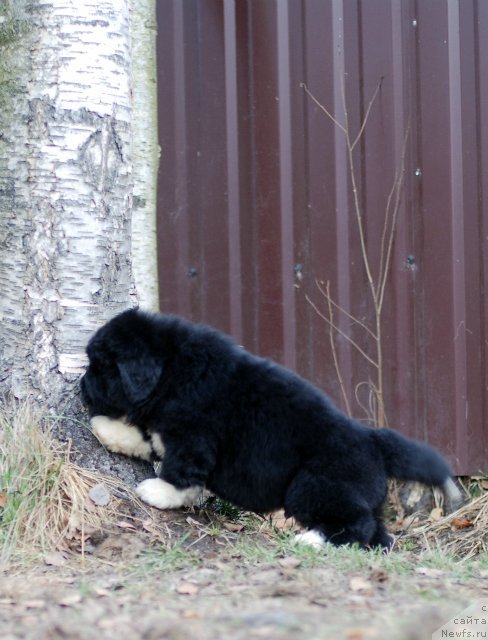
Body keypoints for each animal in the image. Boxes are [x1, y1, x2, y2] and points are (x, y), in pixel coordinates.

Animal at [82, 308, 464, 548]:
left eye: (101, 367)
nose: (81, 387)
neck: (173, 370)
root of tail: (372, 440)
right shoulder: (166, 430)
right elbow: (143, 438)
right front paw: (105, 428)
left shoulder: (193, 439)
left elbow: (181, 474)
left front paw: (158, 491)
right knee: (378, 532)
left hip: (314, 486)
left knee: (356, 524)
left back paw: (312, 541)